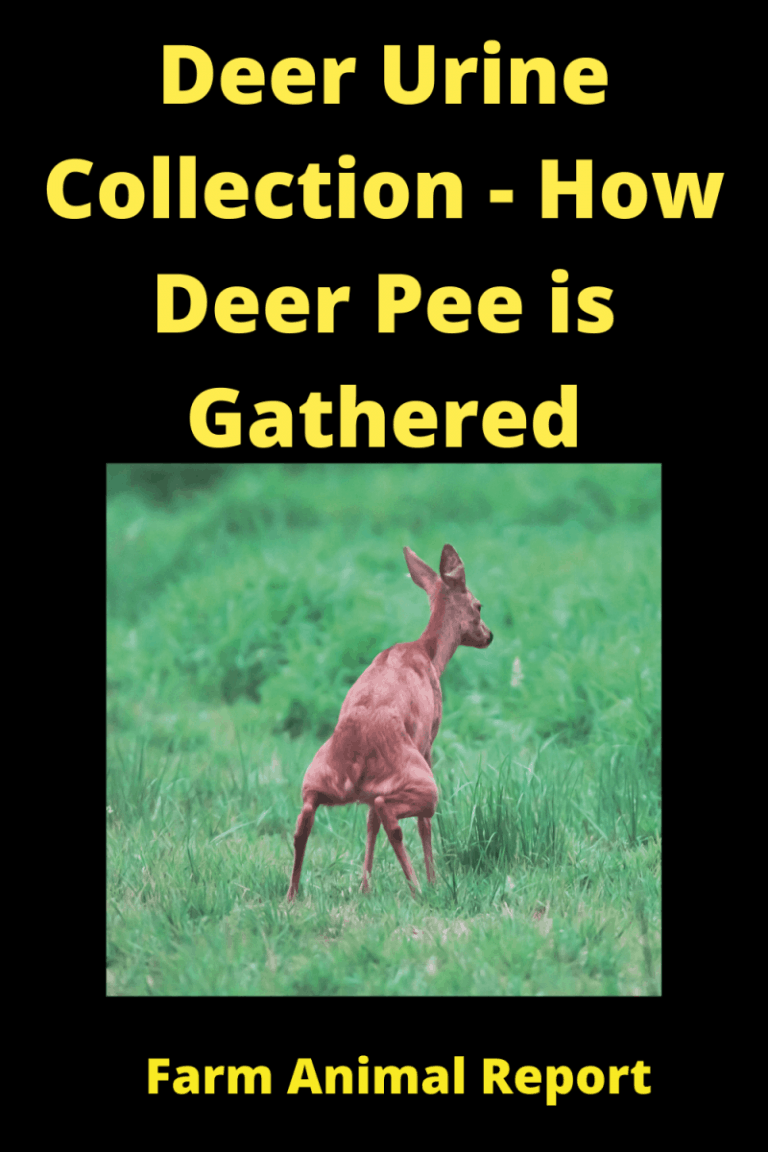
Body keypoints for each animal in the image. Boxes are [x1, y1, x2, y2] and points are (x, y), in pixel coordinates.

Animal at [287, 544, 493, 901]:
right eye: (478, 604)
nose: (489, 635)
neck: (428, 653)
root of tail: (355, 758)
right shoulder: (428, 739)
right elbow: (421, 824)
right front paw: (433, 880)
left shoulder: (371, 787)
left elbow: (368, 823)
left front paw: (365, 886)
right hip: (420, 780)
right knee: (394, 815)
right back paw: (418, 888)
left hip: (318, 775)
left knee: (306, 822)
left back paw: (292, 895)